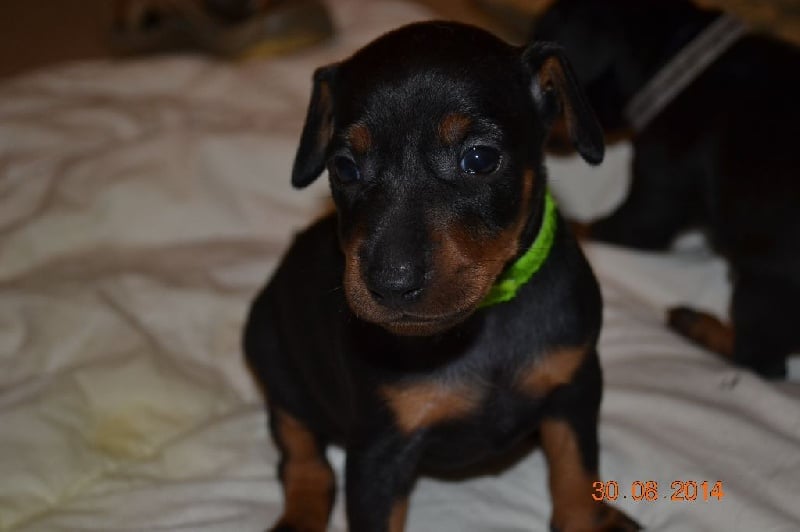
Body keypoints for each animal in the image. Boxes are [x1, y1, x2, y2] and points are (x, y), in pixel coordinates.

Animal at [244, 21, 640, 531]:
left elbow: (576, 473)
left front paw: (590, 518)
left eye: (479, 159)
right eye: (344, 167)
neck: (486, 318)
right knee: (300, 453)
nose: (390, 284)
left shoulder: (576, 386)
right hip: (275, 361)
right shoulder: (378, 449)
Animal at [533, 0, 800, 378]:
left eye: (551, 91)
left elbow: (611, 226)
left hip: (766, 285)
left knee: (761, 359)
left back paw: (698, 324)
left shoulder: (658, 191)